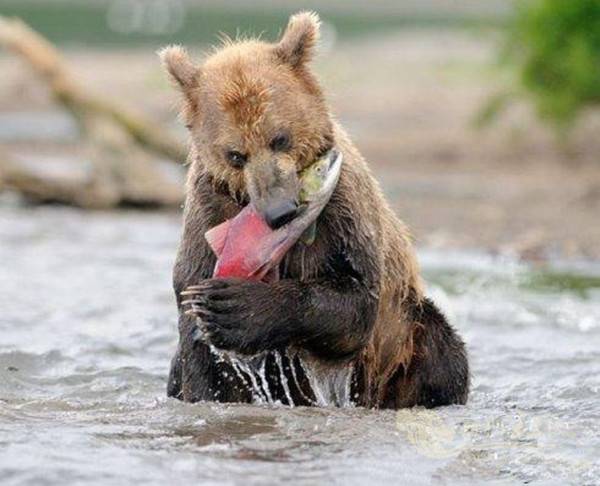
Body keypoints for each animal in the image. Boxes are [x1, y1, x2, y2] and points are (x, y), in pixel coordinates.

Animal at [161, 11, 468, 408]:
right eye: (235, 154)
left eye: (280, 138)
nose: (280, 211)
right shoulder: (209, 211)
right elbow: (198, 340)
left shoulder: (343, 212)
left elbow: (354, 298)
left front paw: (234, 307)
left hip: (406, 331)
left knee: (443, 353)